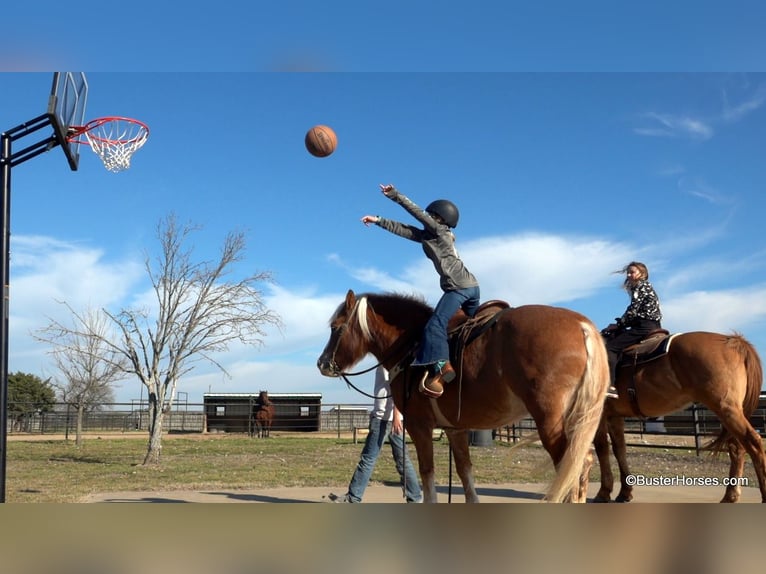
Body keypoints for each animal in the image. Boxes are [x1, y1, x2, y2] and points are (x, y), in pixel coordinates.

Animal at [318, 292, 612, 504]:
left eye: (335, 327)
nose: (322, 363)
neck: (411, 345)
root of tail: (582, 326)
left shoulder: (419, 425)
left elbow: (427, 474)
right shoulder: (455, 430)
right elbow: (465, 474)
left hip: (550, 421)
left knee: (573, 467)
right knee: (581, 466)